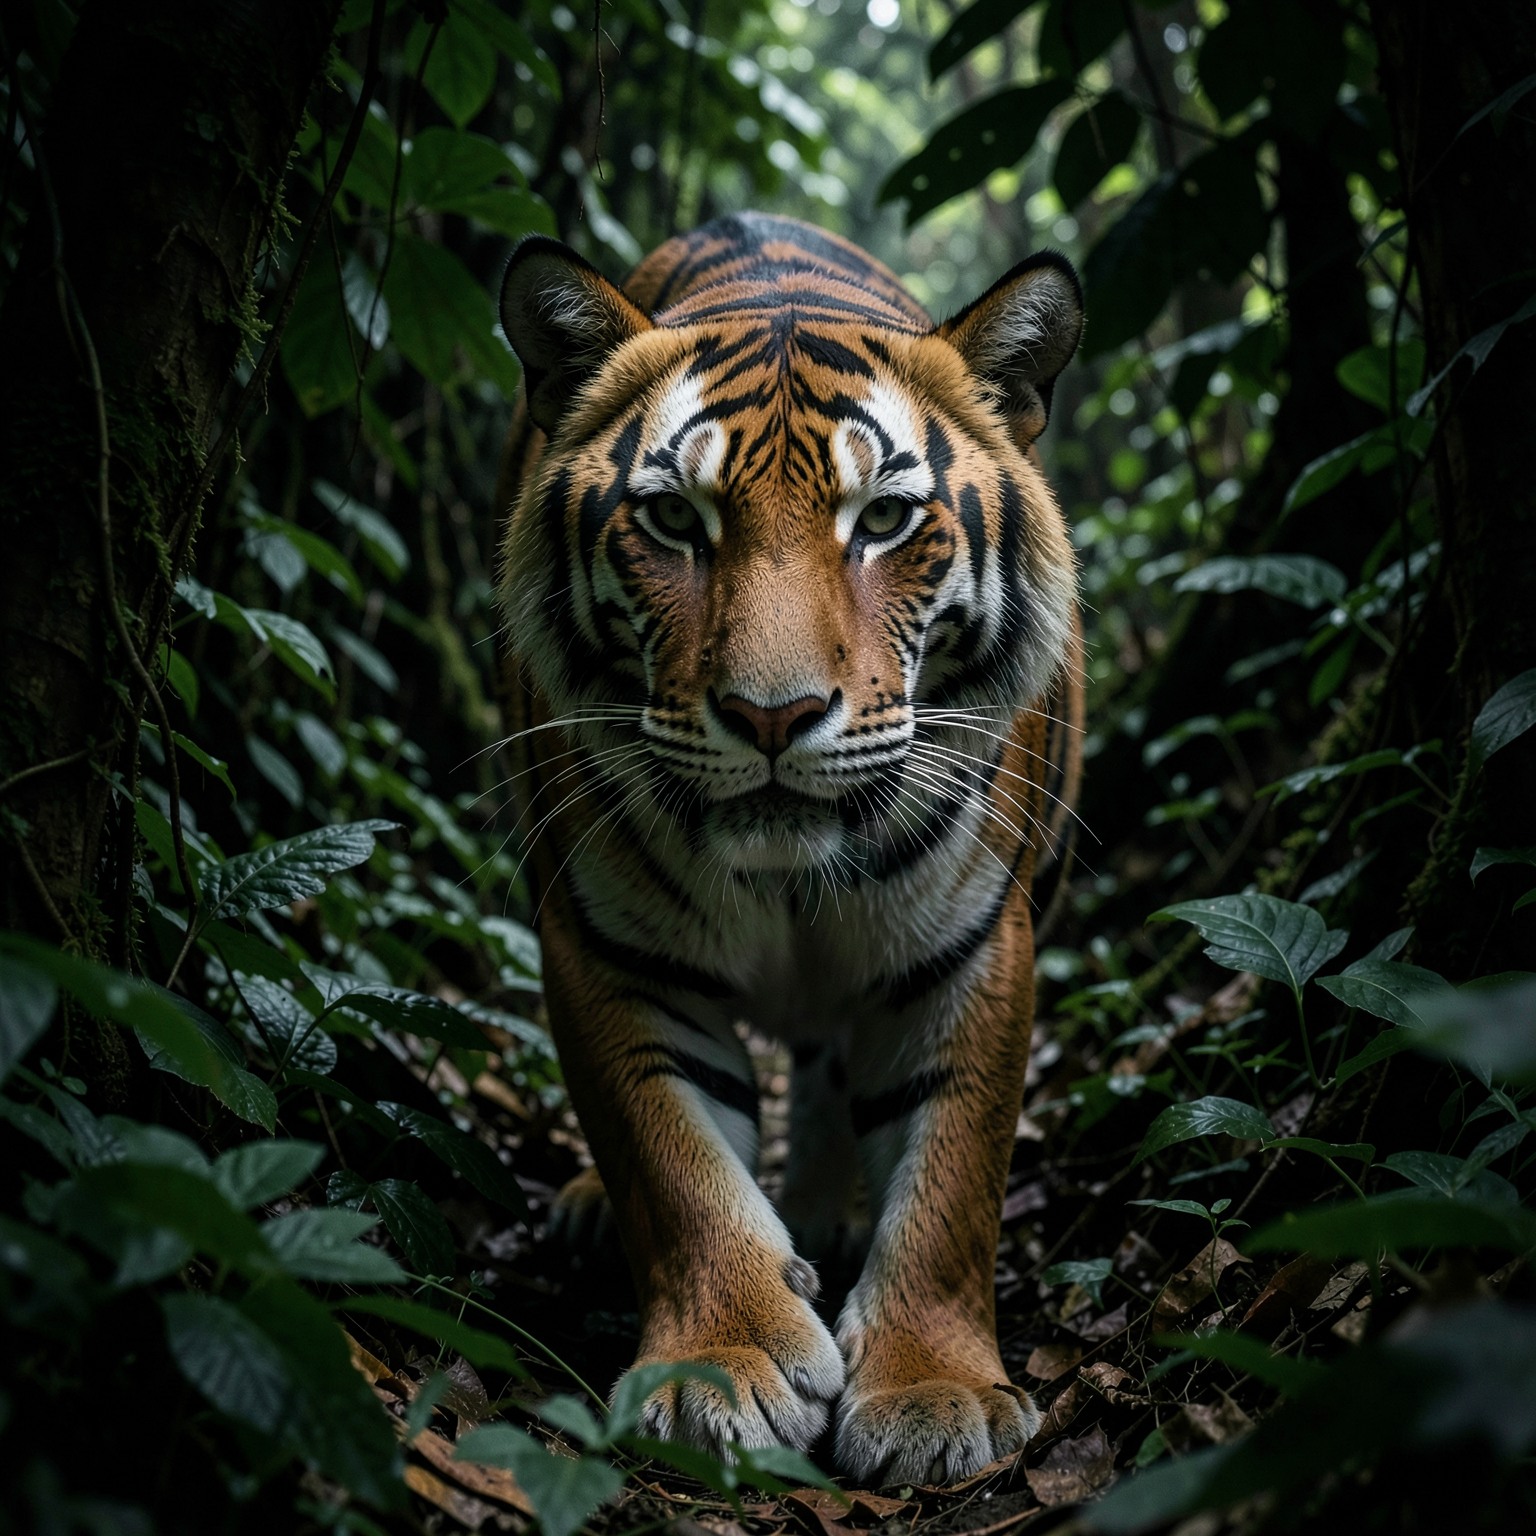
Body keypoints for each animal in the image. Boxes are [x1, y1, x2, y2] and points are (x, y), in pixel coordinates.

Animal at [493, 212, 1083, 1485]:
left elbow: (953, 1180)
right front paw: (717, 1372)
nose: (774, 716)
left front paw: (931, 1392)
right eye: (674, 520)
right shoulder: (608, 950)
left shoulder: (974, 947)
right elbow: (673, 1164)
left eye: (884, 522)